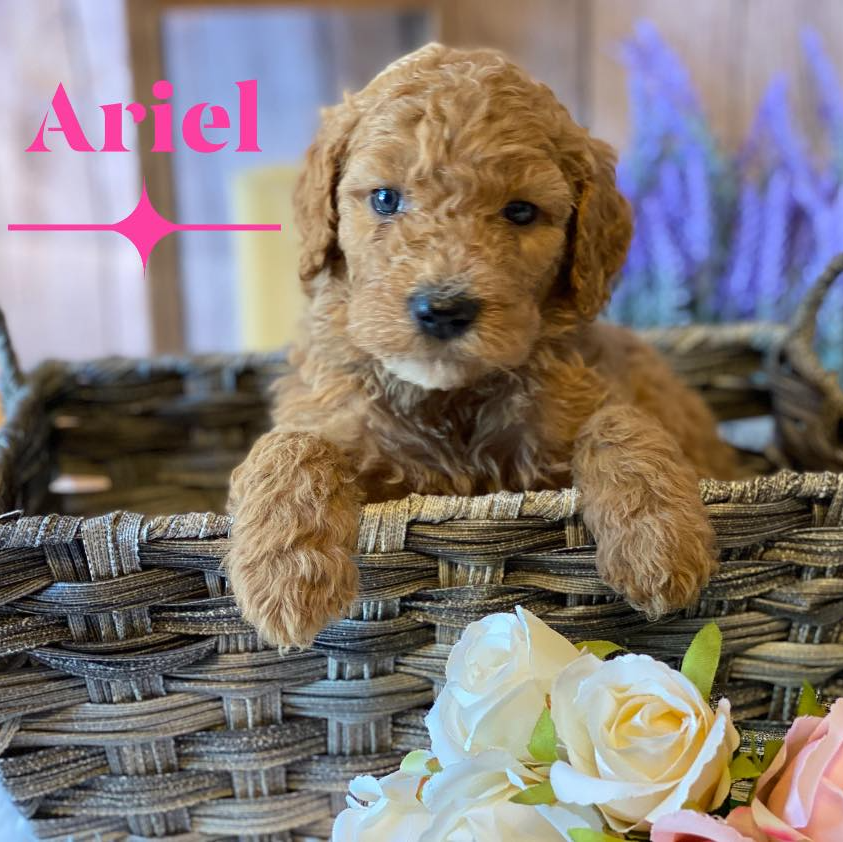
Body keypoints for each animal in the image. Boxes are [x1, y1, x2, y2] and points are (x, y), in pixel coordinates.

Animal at [226, 42, 740, 648]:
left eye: (520, 211)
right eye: (385, 198)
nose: (444, 309)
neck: (451, 398)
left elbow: (619, 421)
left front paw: (661, 542)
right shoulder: (332, 407)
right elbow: (293, 442)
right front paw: (285, 574)